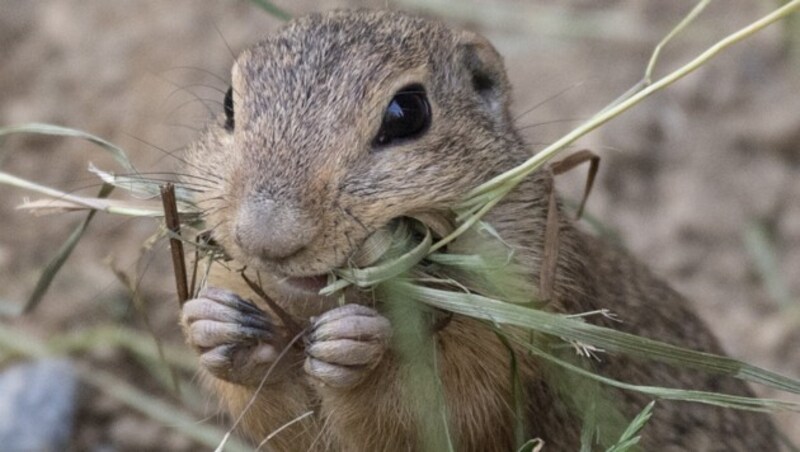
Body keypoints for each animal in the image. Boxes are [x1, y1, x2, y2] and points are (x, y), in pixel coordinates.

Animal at [178, 8, 780, 450]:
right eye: (228, 104)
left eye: (407, 112)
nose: (266, 236)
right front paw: (214, 326)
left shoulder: (522, 327)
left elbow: (438, 407)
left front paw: (361, 349)